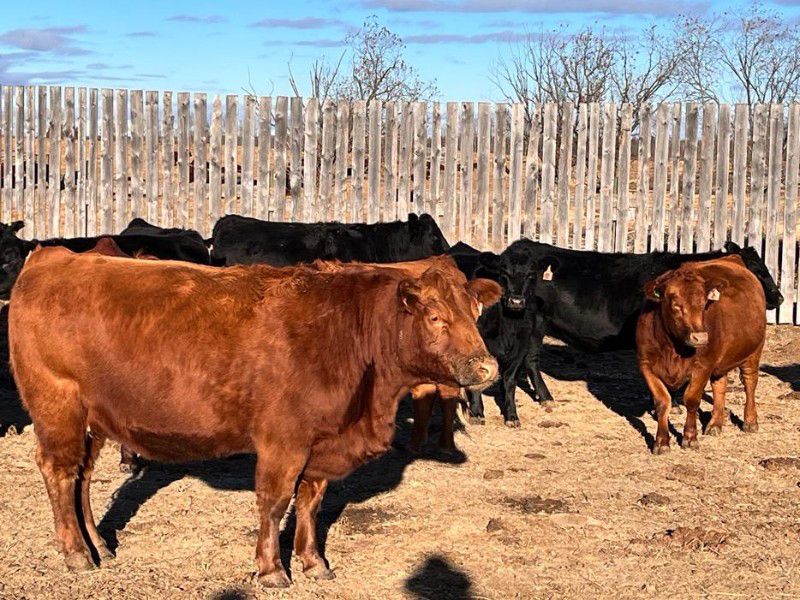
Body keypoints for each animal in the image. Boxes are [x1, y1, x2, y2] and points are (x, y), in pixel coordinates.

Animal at [9, 249, 500, 586]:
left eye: (476, 312)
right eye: (435, 316)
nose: (486, 368)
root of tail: (53, 256)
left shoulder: (319, 443)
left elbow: (310, 502)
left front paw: (313, 562)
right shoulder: (283, 441)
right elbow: (275, 502)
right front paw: (271, 570)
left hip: (93, 420)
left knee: (82, 477)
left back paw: (99, 546)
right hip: (57, 406)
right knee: (59, 472)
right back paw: (76, 553)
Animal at [466, 239, 783, 422]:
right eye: (758, 270)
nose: (778, 298)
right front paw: (668, 405)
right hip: (533, 323)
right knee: (531, 360)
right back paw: (545, 398)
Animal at [637, 255, 766, 454]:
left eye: (704, 304)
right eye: (675, 305)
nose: (701, 337)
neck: (672, 348)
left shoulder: (703, 366)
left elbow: (691, 400)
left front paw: (690, 438)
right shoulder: (646, 365)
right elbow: (662, 401)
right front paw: (662, 442)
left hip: (753, 352)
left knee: (750, 382)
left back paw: (750, 421)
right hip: (721, 362)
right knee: (720, 386)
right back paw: (715, 424)